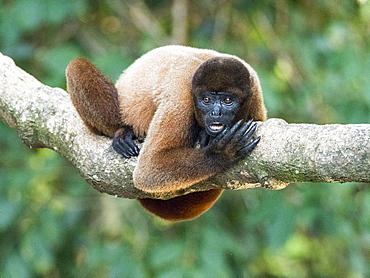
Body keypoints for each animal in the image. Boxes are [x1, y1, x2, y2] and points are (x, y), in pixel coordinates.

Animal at [64, 45, 266, 220]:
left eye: (227, 101)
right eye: (206, 100)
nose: (216, 113)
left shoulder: (256, 99)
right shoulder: (181, 98)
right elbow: (149, 170)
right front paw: (222, 152)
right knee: (76, 66)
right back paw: (123, 133)